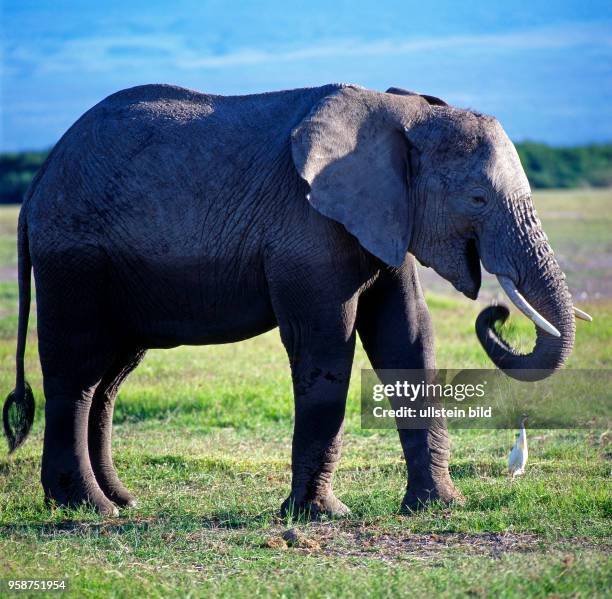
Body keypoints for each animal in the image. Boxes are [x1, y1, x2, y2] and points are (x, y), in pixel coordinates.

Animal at [2, 82, 592, 516]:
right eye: (477, 198)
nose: (497, 312)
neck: (401, 111)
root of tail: (37, 183)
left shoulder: (385, 216)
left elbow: (408, 337)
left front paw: (439, 508)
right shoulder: (310, 228)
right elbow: (326, 344)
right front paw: (322, 516)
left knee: (110, 379)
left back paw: (122, 500)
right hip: (73, 259)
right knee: (77, 372)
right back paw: (86, 509)